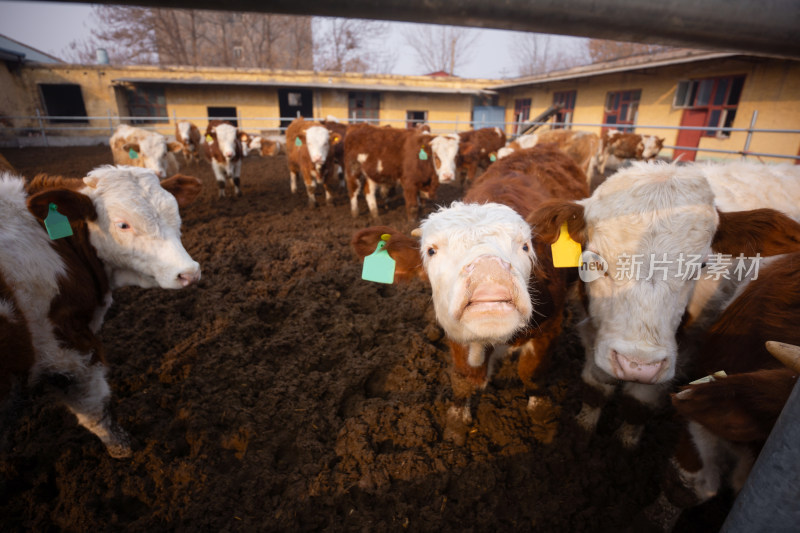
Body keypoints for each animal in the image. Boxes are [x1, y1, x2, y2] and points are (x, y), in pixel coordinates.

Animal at [0, 167, 200, 458]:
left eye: (175, 212)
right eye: (123, 225)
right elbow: (94, 407)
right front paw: (122, 446)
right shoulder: (65, 346)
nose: (189, 272)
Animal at [354, 145, 592, 436]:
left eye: (525, 246)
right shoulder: (454, 330)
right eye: (431, 250)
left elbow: (531, 373)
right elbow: (464, 379)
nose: (488, 270)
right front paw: (457, 420)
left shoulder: (550, 325)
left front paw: (542, 413)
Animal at [528, 162, 800, 448]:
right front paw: (581, 433)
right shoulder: (594, 332)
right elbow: (595, 390)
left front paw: (626, 443)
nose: (637, 365)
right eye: (595, 261)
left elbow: (637, 404)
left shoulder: (683, 350)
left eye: (701, 265)